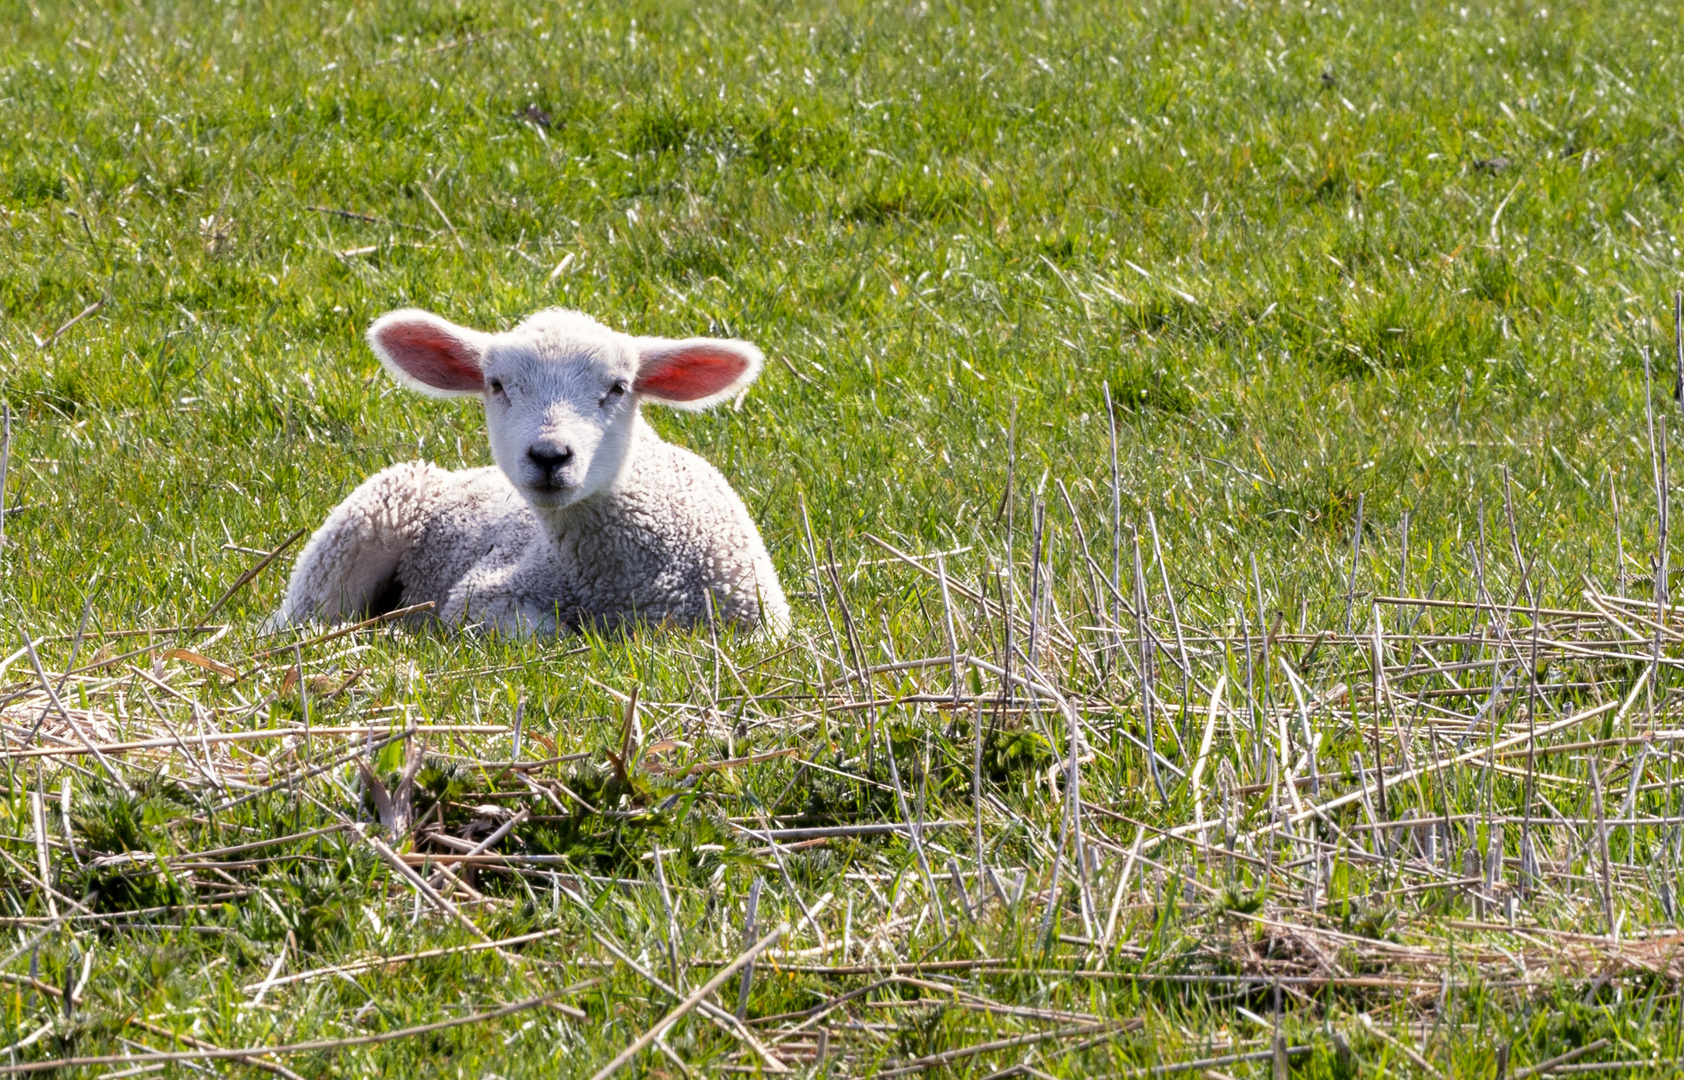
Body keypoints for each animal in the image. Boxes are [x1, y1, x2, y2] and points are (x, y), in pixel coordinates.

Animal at [267, 303, 788, 636]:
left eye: (618, 388)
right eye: (496, 385)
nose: (549, 455)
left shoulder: (760, 622)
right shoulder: (479, 595)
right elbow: (551, 634)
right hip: (358, 529)